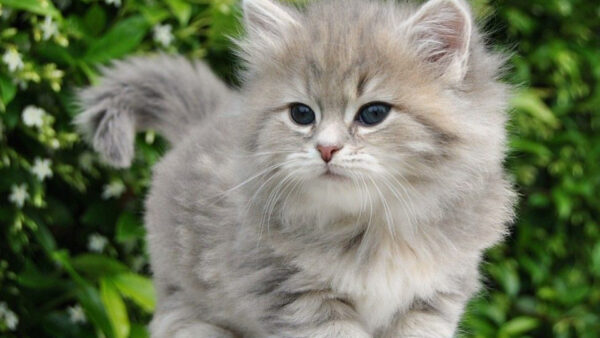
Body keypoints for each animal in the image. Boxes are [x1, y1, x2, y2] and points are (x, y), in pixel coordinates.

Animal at [75, 0, 516, 336]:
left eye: (373, 113)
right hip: (191, 314)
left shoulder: (432, 300)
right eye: (302, 114)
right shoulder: (299, 298)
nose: (326, 148)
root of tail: (206, 118)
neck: (375, 229)